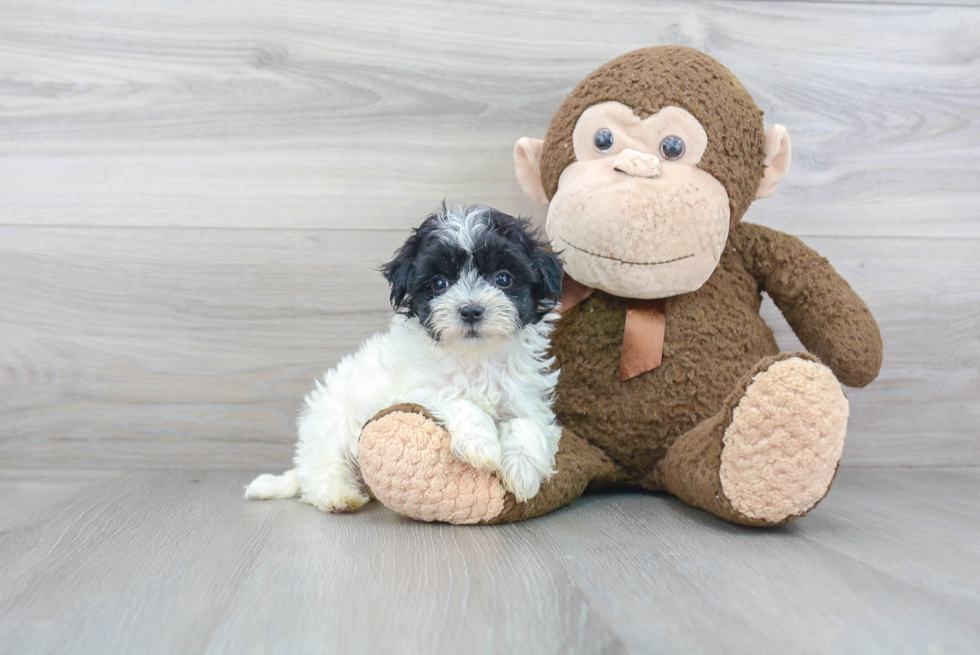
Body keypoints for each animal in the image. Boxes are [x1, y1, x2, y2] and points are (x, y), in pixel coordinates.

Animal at [247, 205, 568, 512]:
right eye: (439, 283)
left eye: (503, 278)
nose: (470, 310)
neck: (474, 359)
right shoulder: (416, 391)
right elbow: (457, 400)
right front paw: (482, 444)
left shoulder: (526, 399)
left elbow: (527, 423)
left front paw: (524, 471)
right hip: (332, 425)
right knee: (322, 470)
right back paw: (338, 496)